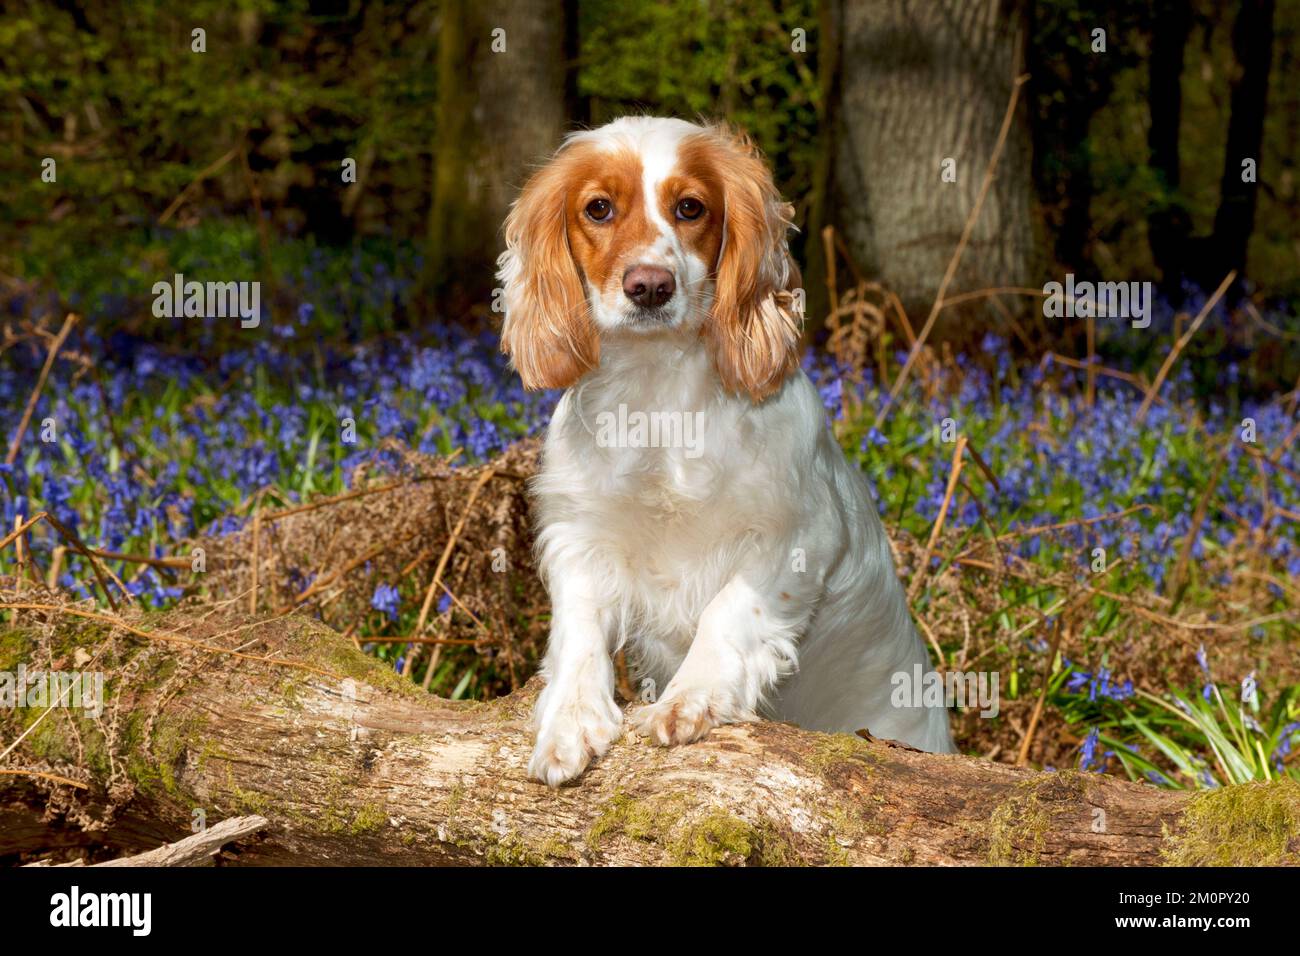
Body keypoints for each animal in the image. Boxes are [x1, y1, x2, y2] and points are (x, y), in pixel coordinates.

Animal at [496, 115, 956, 785]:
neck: (659, 400)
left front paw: (689, 698)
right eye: (598, 208)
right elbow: (577, 636)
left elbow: (727, 611)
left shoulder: (796, 537)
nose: (650, 286)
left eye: (691, 207)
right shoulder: (580, 537)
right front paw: (569, 723)